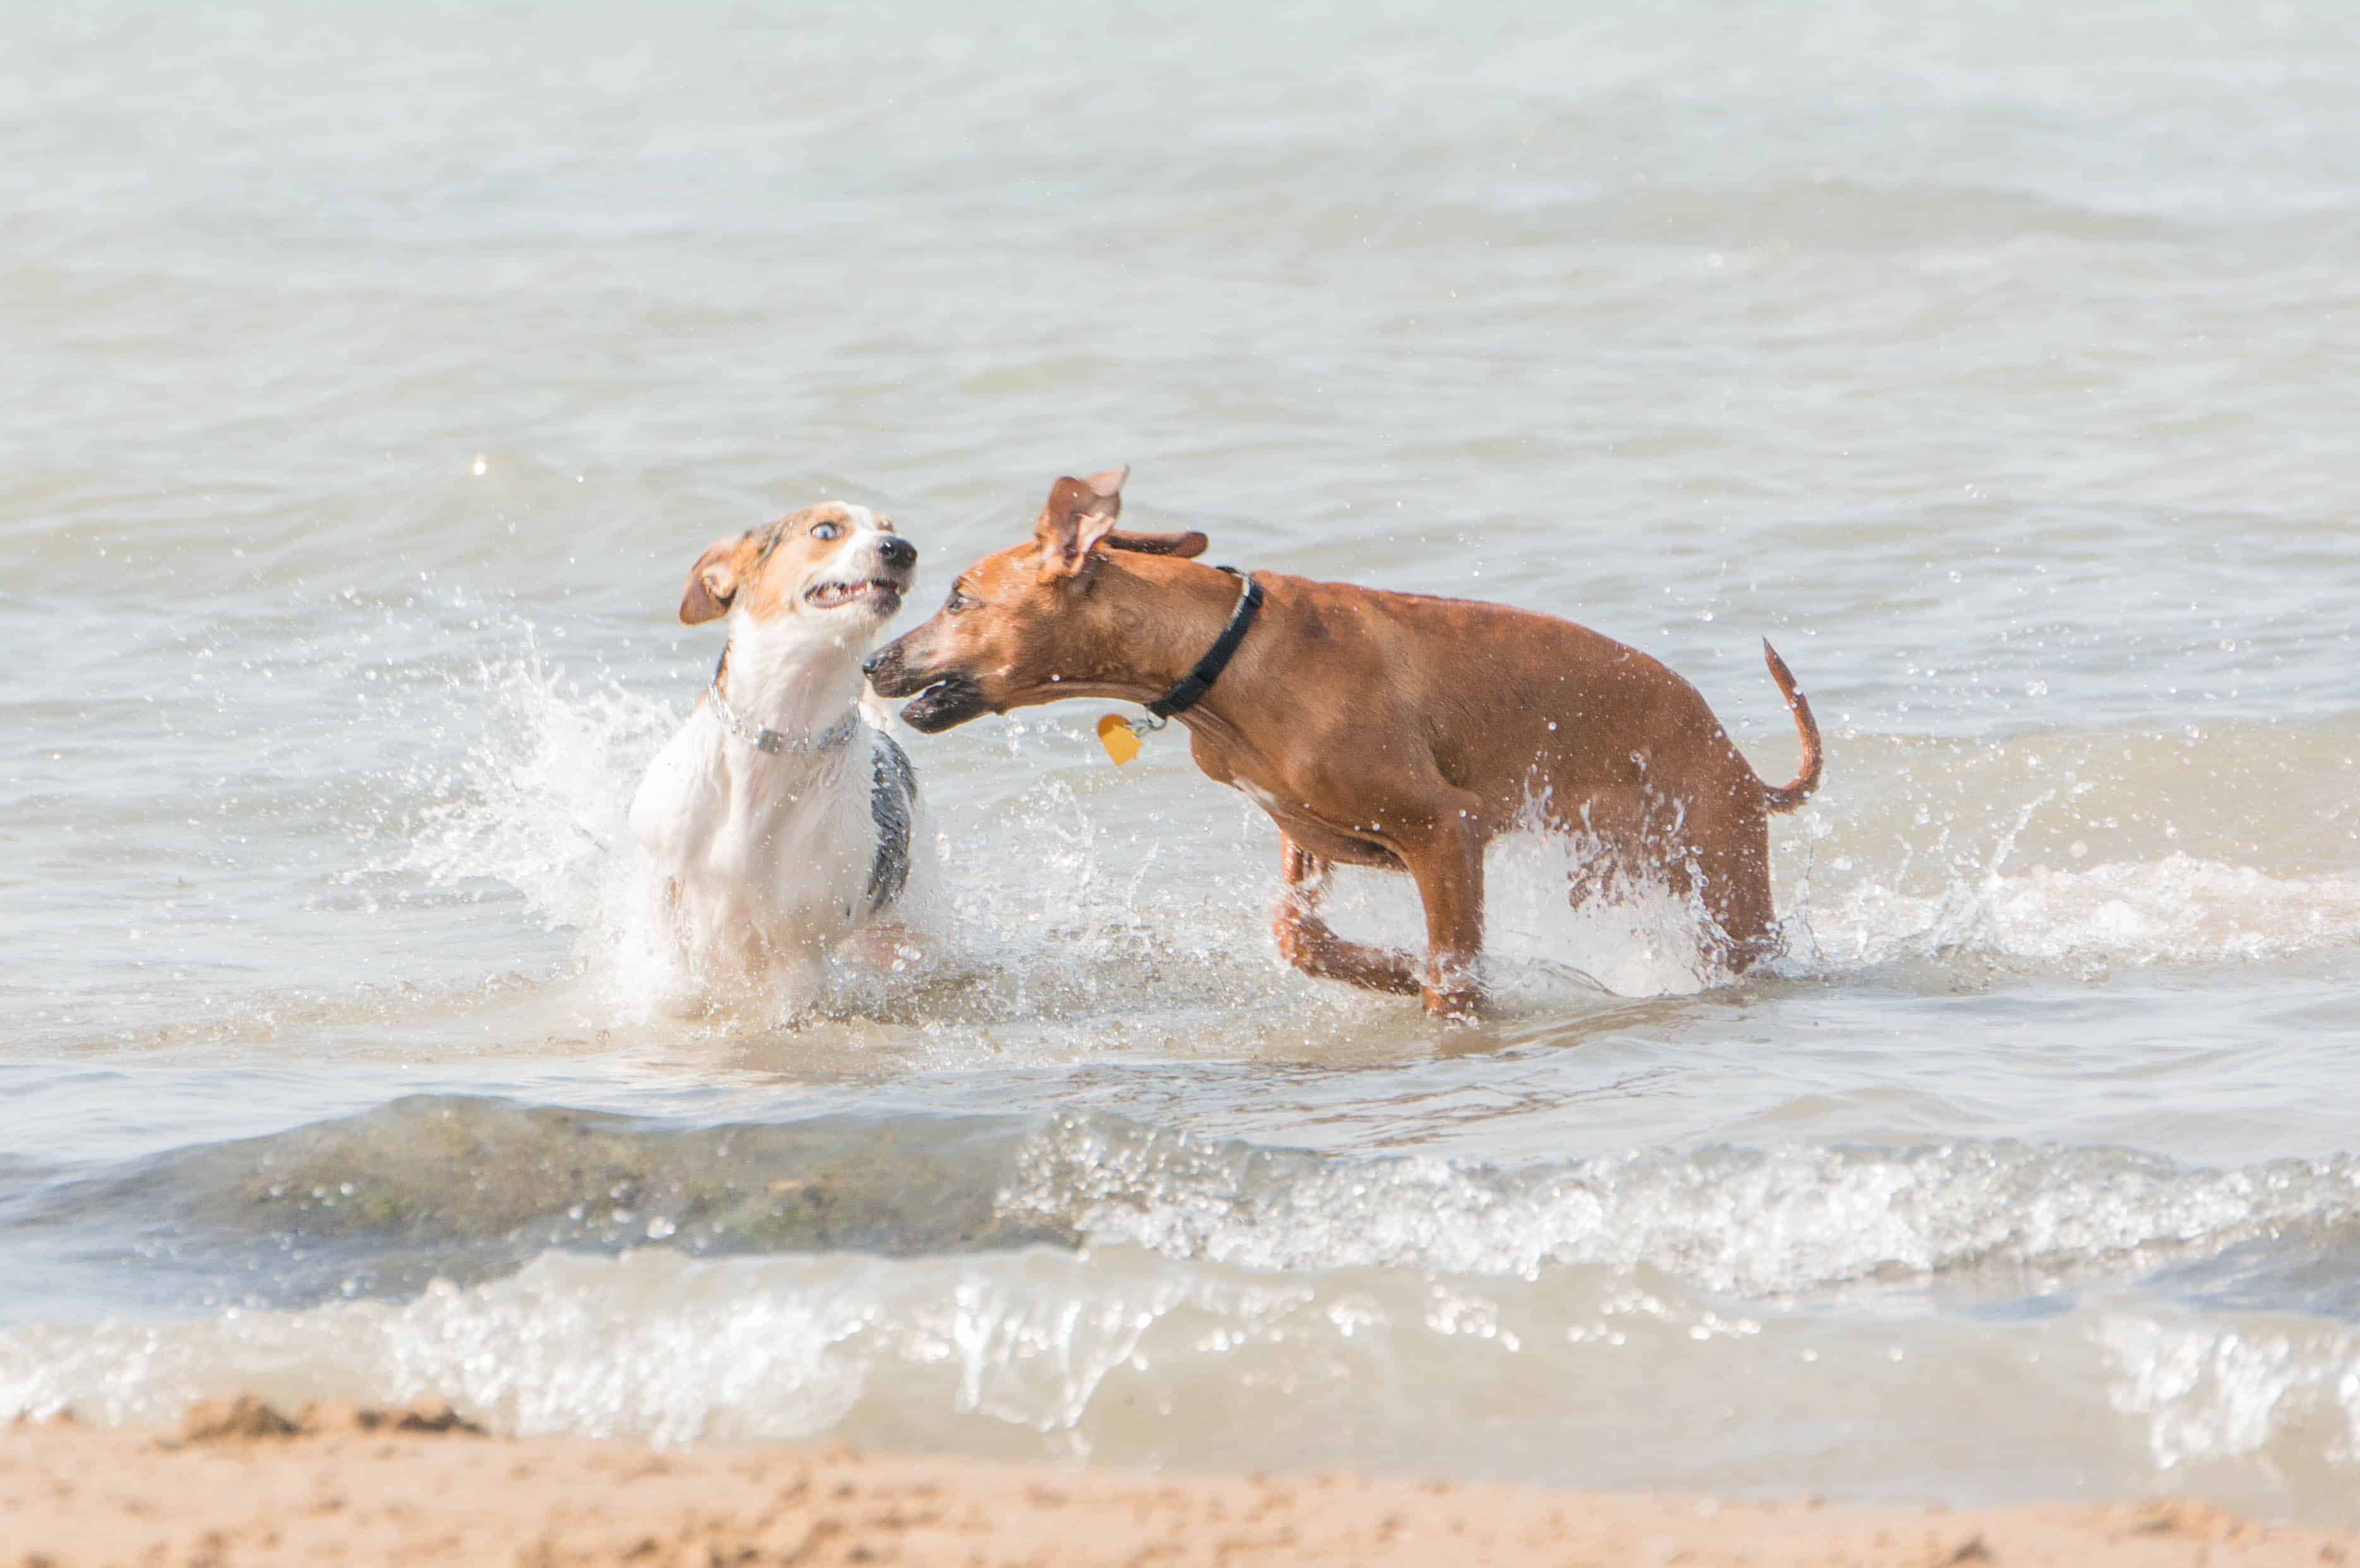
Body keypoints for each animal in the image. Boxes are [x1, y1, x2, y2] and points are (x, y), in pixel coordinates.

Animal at [632, 503, 934, 1010]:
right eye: (826, 531)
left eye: (888, 528)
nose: (902, 549)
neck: (785, 737)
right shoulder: (664, 895)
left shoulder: (800, 945)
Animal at [868, 465, 1821, 1015]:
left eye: (958, 599)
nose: (875, 659)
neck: (1220, 654)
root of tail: (1739, 761)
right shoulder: (1307, 835)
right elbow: (1299, 934)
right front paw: (1389, 970)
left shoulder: (1446, 828)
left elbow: (1453, 968)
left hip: (1719, 872)